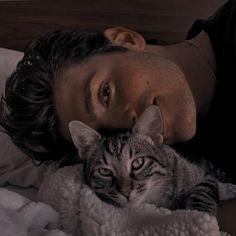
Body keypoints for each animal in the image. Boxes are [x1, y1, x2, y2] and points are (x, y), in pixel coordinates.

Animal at [69, 106, 218, 215]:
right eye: (104, 171)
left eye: (138, 163)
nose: (125, 193)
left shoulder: (205, 175)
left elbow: (202, 193)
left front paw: (198, 214)